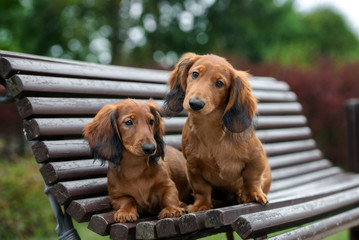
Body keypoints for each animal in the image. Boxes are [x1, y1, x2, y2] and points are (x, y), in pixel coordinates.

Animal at [165, 53, 272, 212]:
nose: (195, 103)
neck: (210, 130)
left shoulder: (256, 156)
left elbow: (252, 177)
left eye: (220, 83)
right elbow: (201, 189)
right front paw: (202, 205)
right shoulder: (193, 167)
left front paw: (253, 194)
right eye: (195, 74)